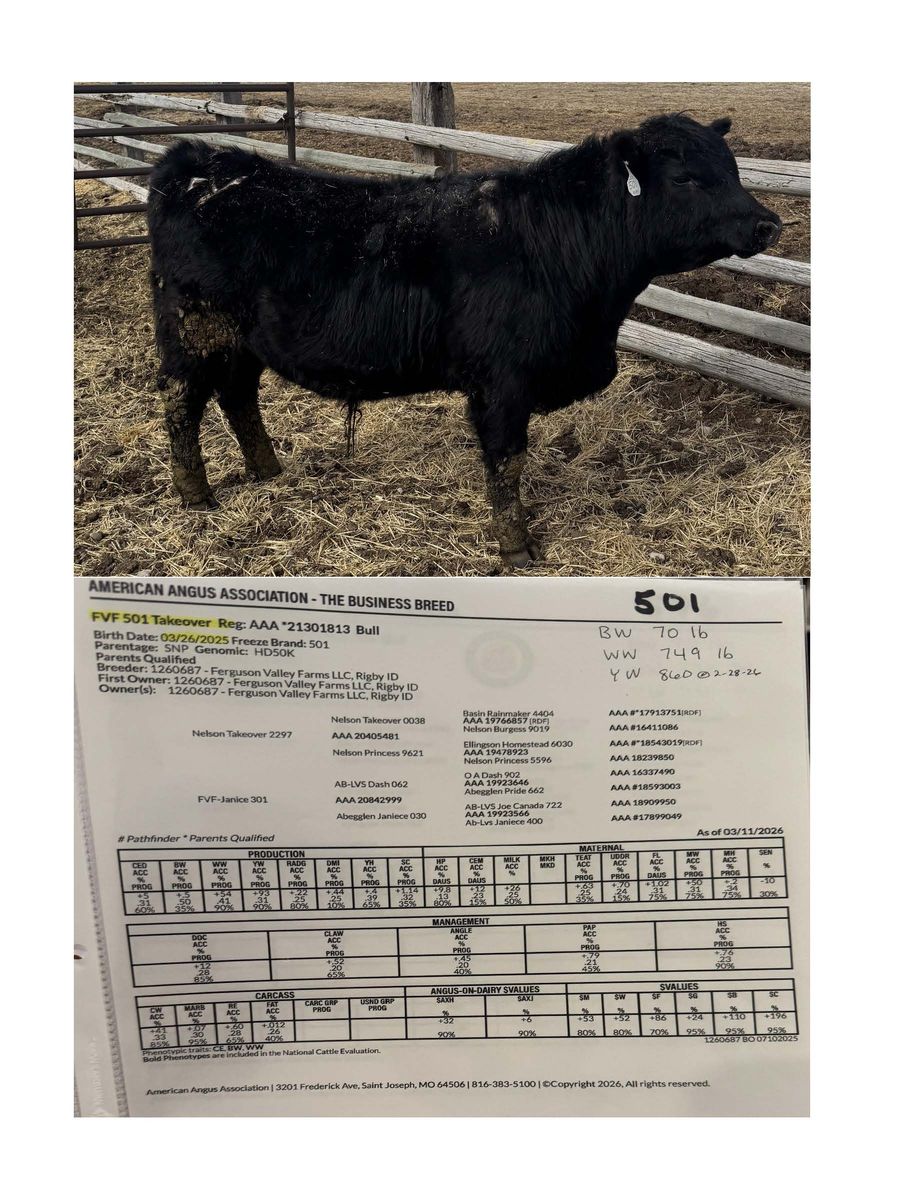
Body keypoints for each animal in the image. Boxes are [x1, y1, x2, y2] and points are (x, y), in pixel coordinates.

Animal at [146, 113, 781, 567]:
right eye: (685, 177)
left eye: (735, 170)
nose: (768, 224)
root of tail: (203, 160)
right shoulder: (502, 382)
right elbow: (507, 461)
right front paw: (517, 548)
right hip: (194, 331)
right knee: (182, 404)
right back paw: (195, 494)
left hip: (240, 340)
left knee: (237, 396)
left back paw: (268, 470)